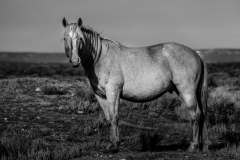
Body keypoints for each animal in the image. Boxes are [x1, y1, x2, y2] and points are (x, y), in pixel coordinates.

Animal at [61, 17, 210, 152]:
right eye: (64, 38)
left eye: (80, 38)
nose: (75, 61)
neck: (101, 58)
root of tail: (196, 53)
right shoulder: (100, 96)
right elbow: (109, 118)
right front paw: (112, 143)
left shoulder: (113, 92)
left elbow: (114, 117)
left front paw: (114, 145)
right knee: (202, 115)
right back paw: (202, 146)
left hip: (187, 91)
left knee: (195, 115)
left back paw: (193, 146)